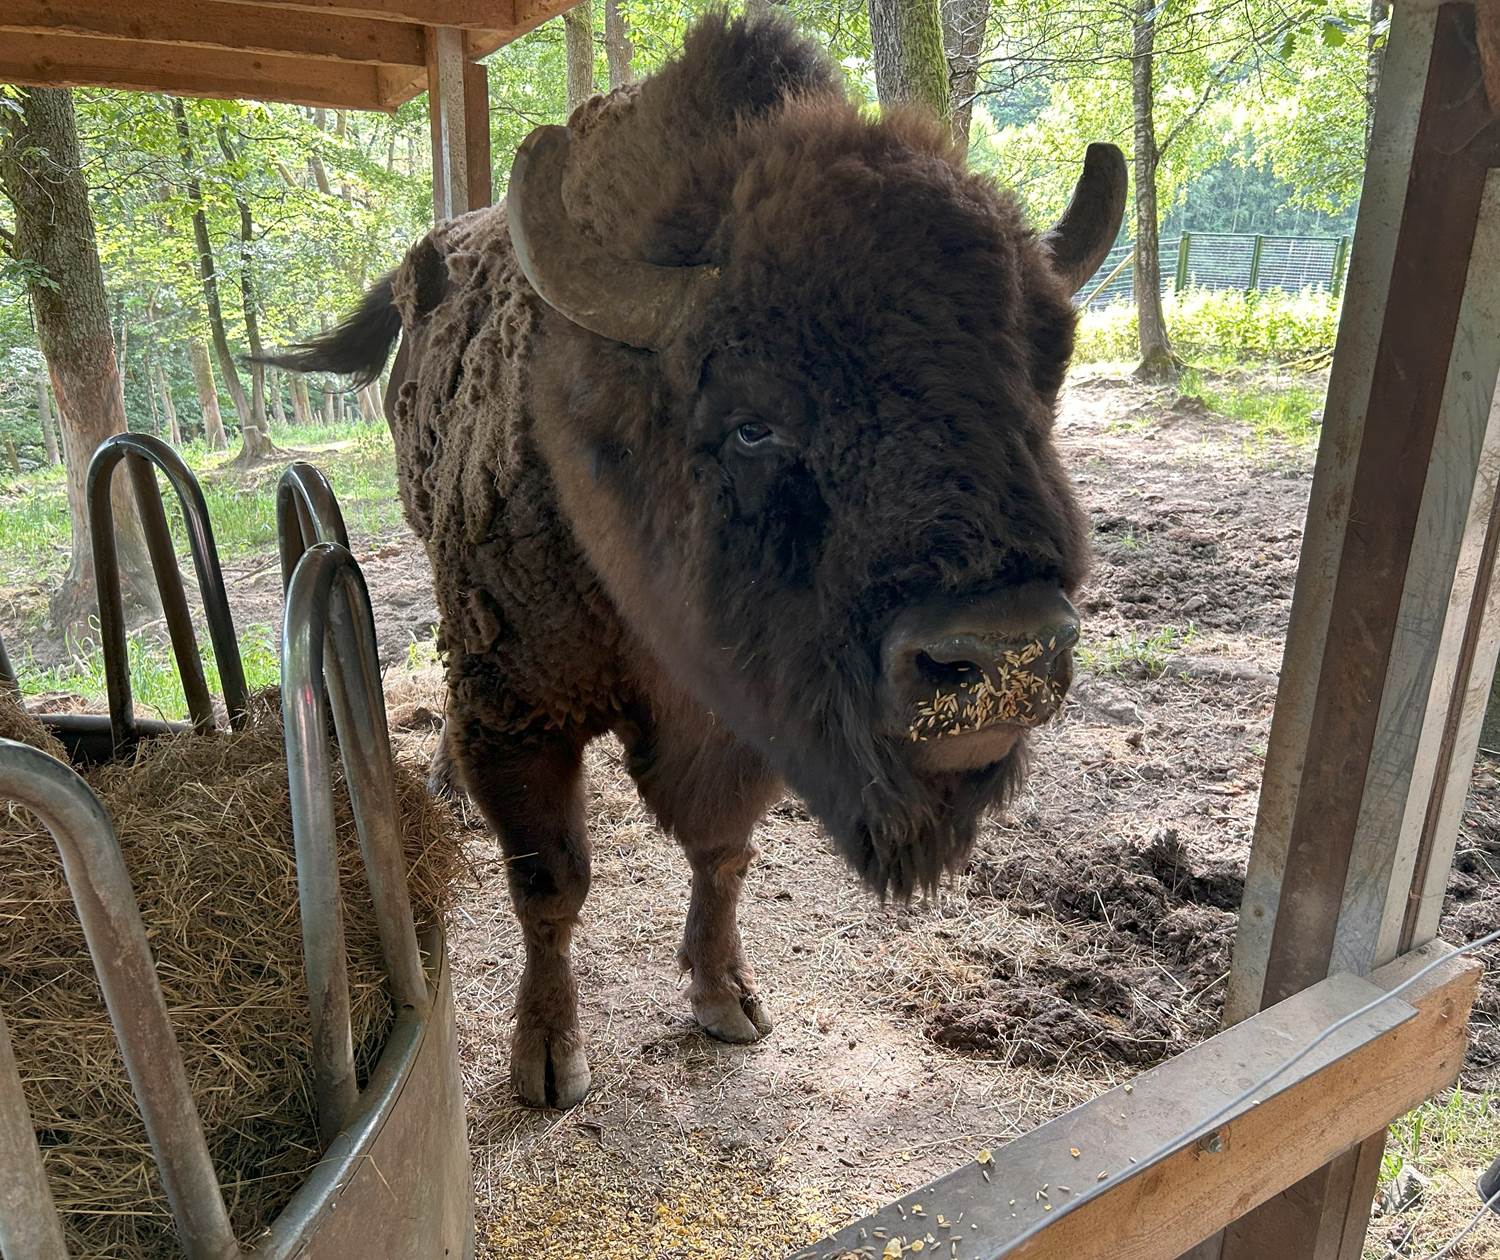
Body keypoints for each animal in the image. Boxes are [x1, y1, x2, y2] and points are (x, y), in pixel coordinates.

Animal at [268, 12, 1125, 1108]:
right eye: (753, 422)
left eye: (1043, 380)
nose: (1005, 655)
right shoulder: (520, 712)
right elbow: (550, 881)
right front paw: (547, 1056)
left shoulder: (739, 719)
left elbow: (722, 850)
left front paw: (726, 999)